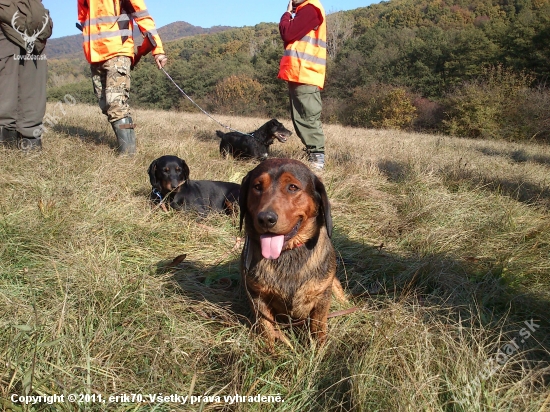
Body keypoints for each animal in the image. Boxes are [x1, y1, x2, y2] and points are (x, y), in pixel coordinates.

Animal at [240, 159, 348, 348]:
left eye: (292, 187)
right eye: (257, 186)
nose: (265, 219)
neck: (287, 253)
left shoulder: (322, 297)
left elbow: (318, 327)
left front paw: (318, 351)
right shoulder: (257, 297)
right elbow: (267, 329)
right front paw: (269, 351)